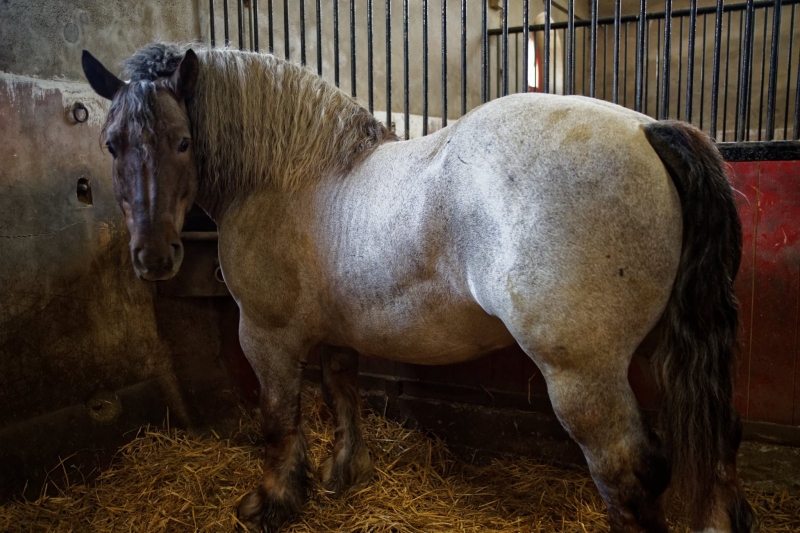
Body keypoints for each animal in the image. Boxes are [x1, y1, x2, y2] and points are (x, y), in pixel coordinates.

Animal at [81, 42, 756, 532]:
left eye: (183, 141)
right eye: (111, 144)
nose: (154, 257)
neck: (291, 178)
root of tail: (646, 129)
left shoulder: (266, 335)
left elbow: (278, 416)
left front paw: (273, 501)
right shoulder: (336, 331)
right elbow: (342, 392)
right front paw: (345, 472)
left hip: (583, 375)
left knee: (627, 473)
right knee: (722, 441)